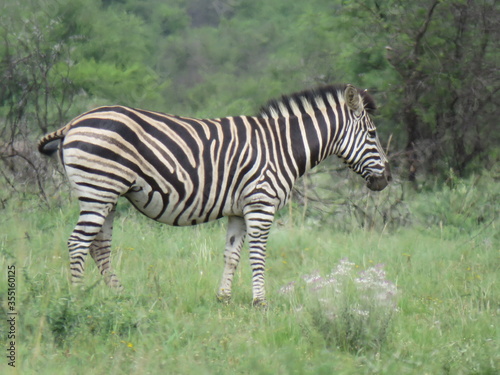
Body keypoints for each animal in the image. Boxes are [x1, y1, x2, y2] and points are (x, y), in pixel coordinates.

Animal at [38, 83, 390, 306]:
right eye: (373, 134)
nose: (387, 178)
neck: (282, 147)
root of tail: (74, 122)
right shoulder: (261, 205)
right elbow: (258, 254)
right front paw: (260, 301)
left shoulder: (238, 210)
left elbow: (232, 254)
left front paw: (224, 298)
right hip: (99, 191)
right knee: (78, 243)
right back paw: (76, 297)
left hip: (107, 195)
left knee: (99, 247)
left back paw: (119, 295)